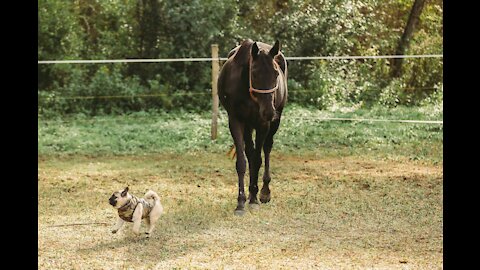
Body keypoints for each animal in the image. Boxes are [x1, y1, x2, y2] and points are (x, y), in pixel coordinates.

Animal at [218, 39, 288, 215]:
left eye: (276, 74)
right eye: (255, 74)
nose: (269, 112)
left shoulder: (263, 123)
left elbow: (258, 159)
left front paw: (255, 199)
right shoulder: (236, 120)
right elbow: (242, 162)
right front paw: (241, 201)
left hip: (274, 122)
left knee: (267, 148)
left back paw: (264, 192)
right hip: (249, 125)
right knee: (250, 151)